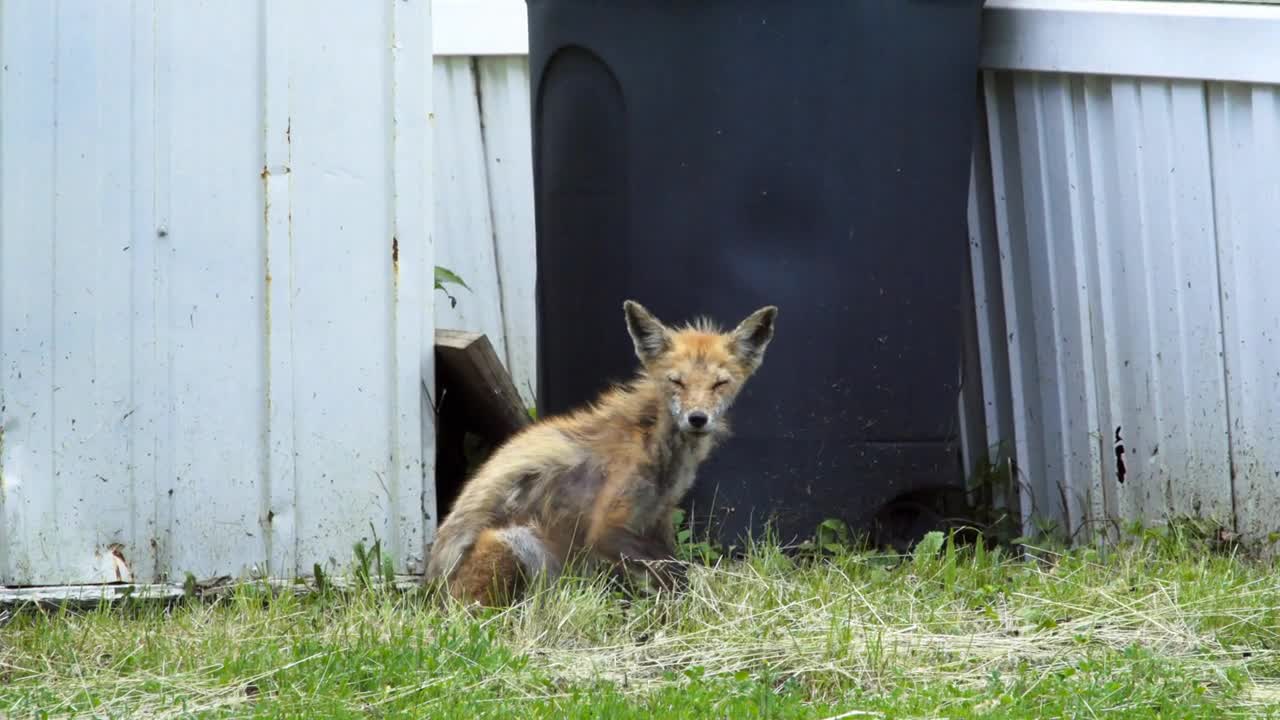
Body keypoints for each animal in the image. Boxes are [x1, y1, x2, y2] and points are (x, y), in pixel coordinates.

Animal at [424, 297, 773, 604]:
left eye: (719, 384)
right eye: (677, 382)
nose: (698, 418)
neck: (651, 440)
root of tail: (431, 588)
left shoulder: (659, 517)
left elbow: (673, 568)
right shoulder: (607, 528)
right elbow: (672, 569)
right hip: (516, 541)